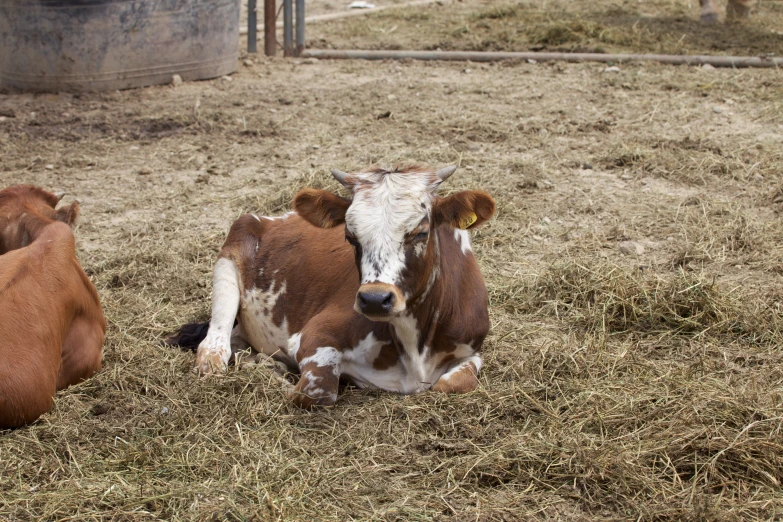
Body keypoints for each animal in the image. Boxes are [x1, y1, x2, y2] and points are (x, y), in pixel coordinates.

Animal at [169, 165, 496, 404]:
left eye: (421, 231)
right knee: (215, 347)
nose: (375, 299)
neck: (415, 348)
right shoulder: (311, 337)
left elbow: (453, 383)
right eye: (350, 236)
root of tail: (273, 217)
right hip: (231, 252)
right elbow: (318, 390)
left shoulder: (472, 349)